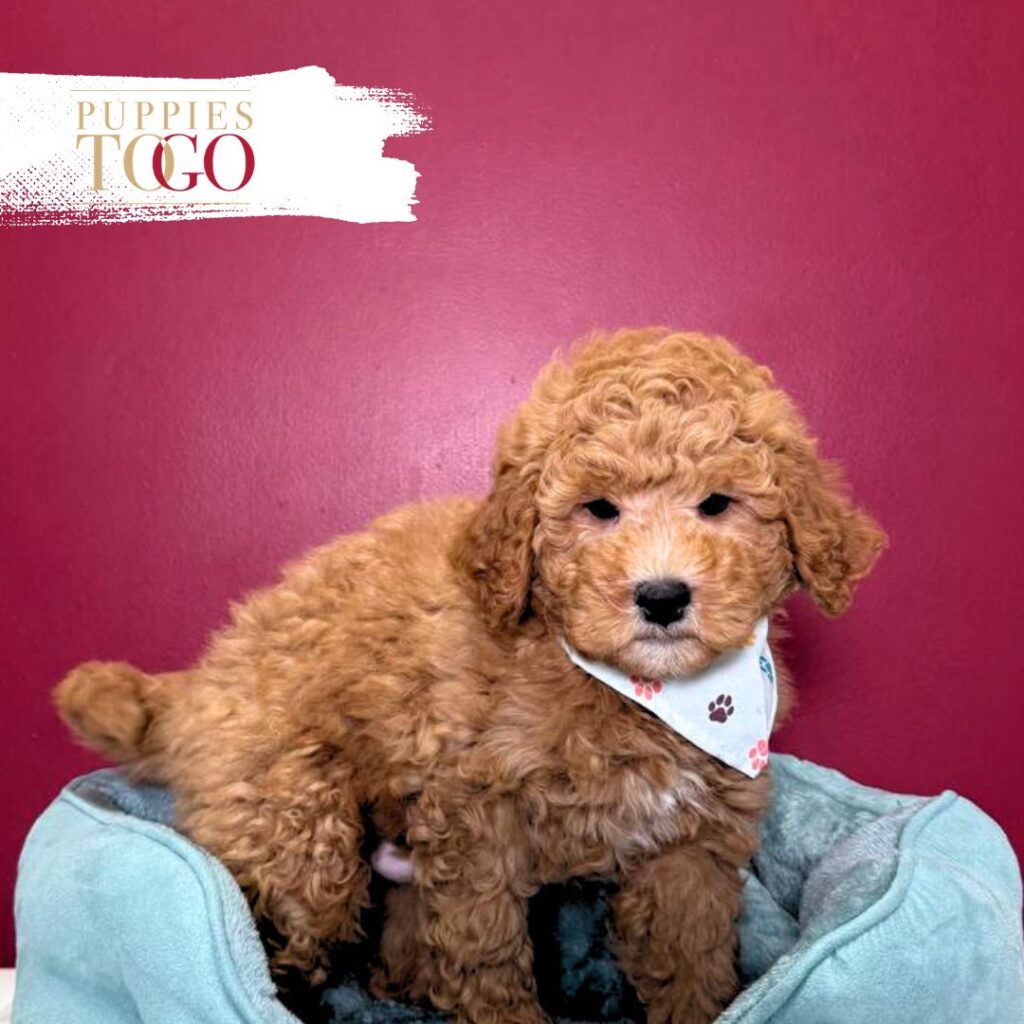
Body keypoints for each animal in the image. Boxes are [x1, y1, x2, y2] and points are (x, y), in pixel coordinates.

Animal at [56, 328, 884, 1024]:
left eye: (717, 504)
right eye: (599, 510)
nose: (661, 595)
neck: (638, 693)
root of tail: (198, 681)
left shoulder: (693, 841)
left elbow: (690, 952)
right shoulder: (475, 819)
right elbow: (484, 944)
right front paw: (508, 1015)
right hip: (295, 826)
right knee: (285, 935)